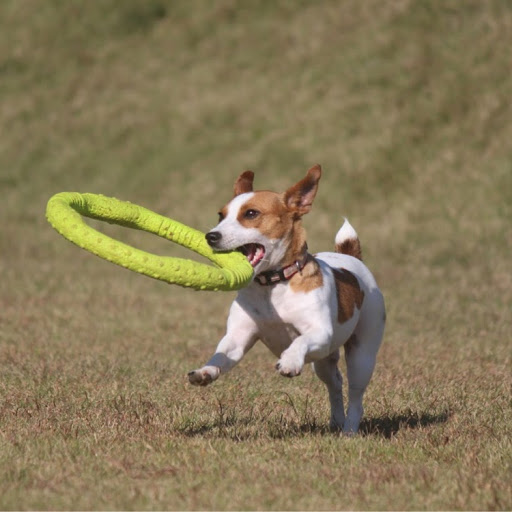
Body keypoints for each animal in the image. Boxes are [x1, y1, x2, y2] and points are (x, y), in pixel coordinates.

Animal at [187, 166, 384, 434]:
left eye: (251, 213)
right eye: (220, 215)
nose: (211, 236)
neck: (272, 284)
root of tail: (352, 257)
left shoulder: (321, 333)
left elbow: (300, 341)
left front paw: (289, 361)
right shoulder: (238, 337)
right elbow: (222, 354)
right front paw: (205, 372)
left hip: (362, 353)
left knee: (355, 394)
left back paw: (349, 430)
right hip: (323, 361)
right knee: (334, 383)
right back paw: (336, 420)